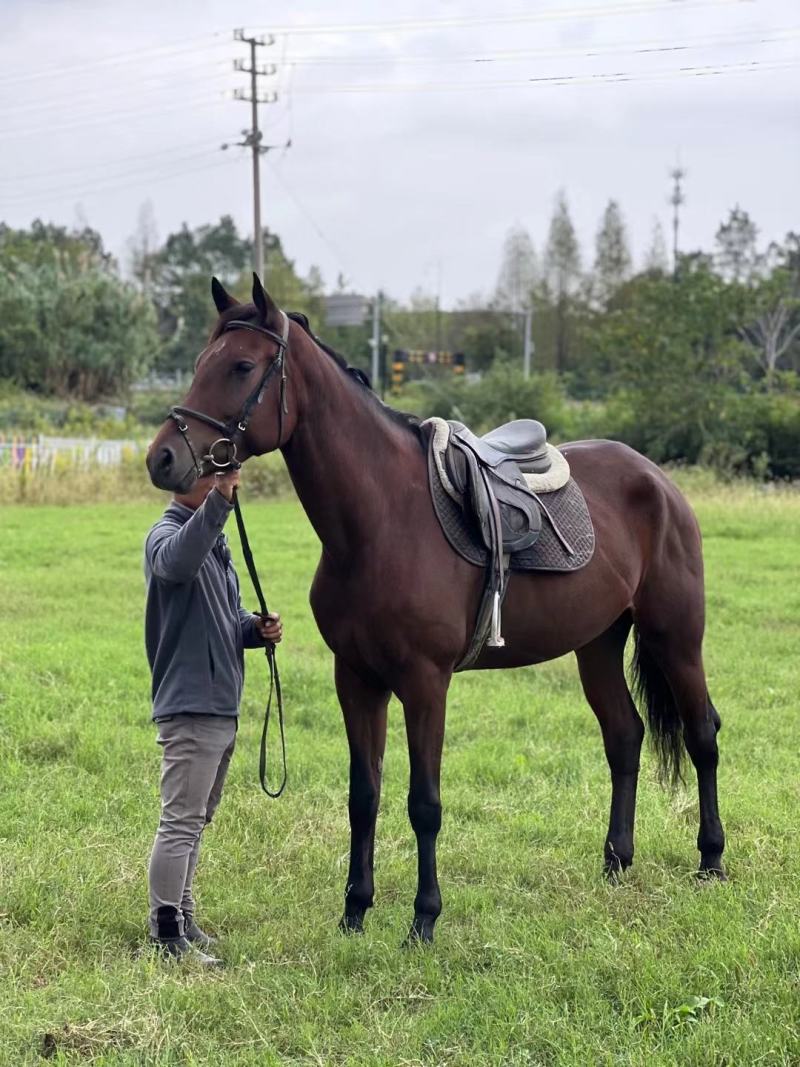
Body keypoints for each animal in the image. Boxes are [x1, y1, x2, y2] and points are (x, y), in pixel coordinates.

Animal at [146, 275, 726, 944]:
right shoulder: (357, 679)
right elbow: (363, 796)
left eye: (241, 366)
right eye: (199, 364)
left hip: (674, 637)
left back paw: (711, 860)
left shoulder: (425, 684)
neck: (379, 523)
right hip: (598, 645)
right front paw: (355, 910)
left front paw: (423, 919)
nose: (162, 457)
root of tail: (657, 479)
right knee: (625, 737)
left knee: (702, 734)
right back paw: (616, 862)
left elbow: (423, 802)